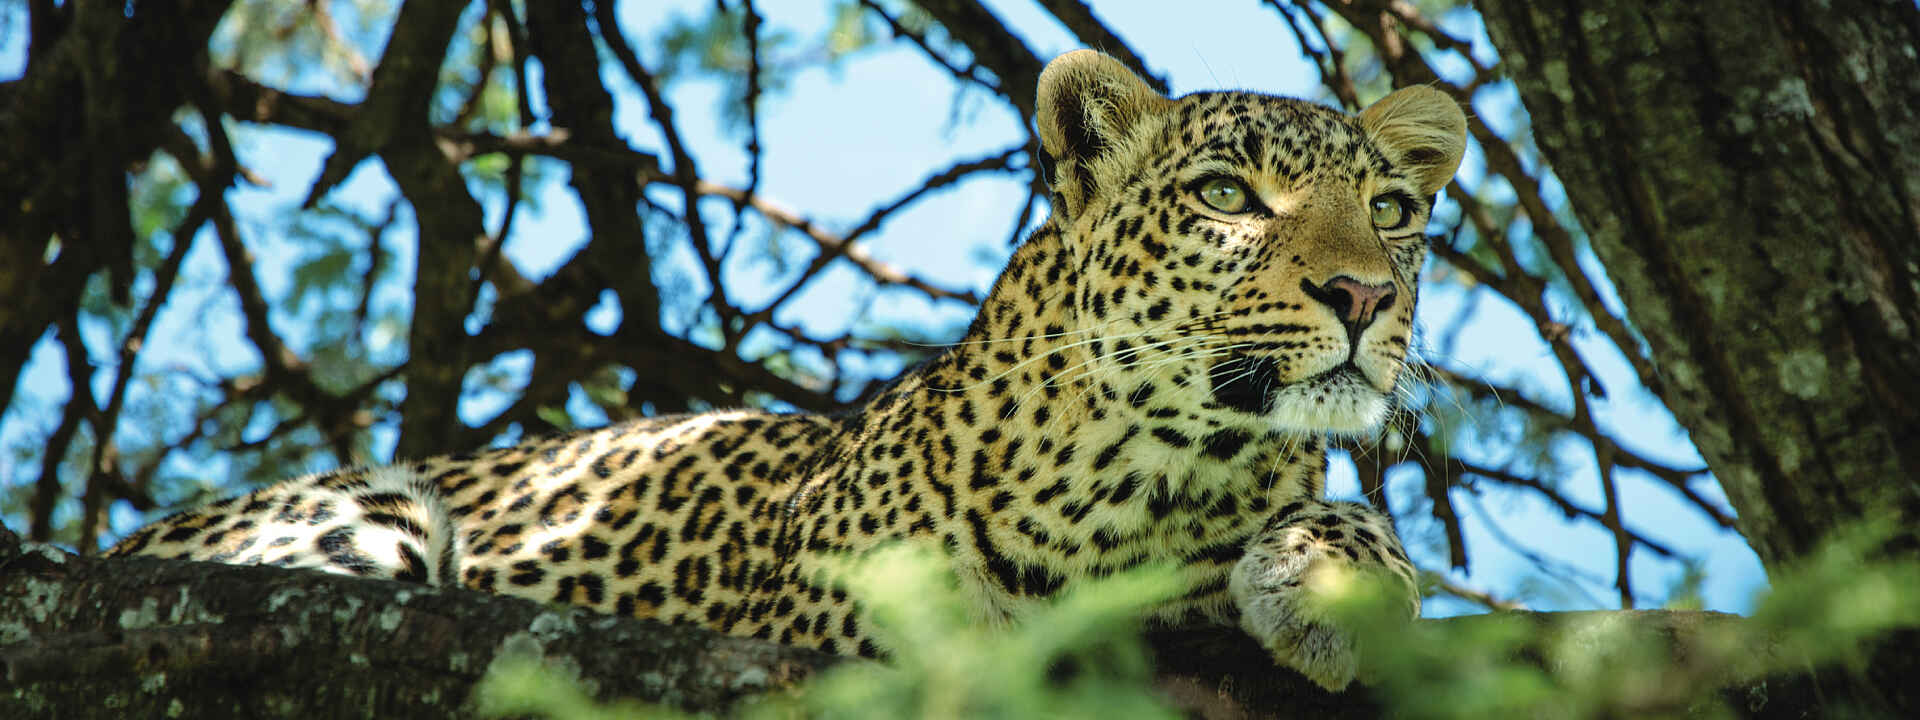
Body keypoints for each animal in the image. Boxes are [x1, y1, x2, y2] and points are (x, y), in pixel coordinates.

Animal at [108, 50, 1467, 692]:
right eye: (1228, 196)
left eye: (1392, 209)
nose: (1364, 294)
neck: (1157, 475)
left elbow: (1350, 516)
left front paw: (1330, 580)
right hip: (367, 519)